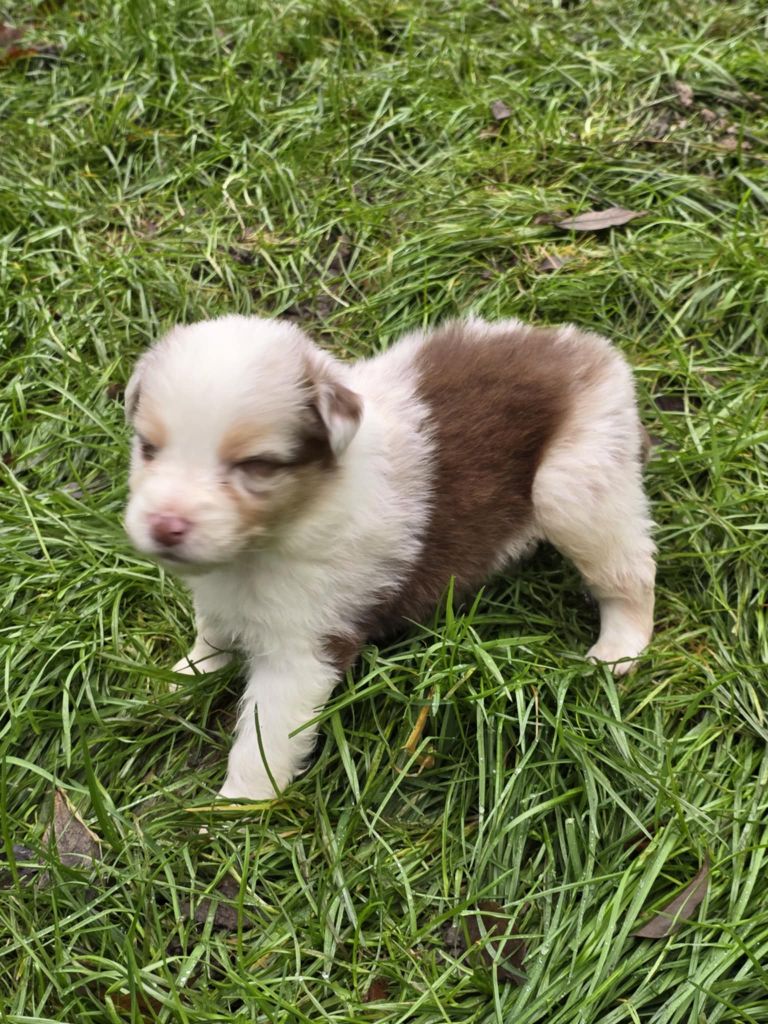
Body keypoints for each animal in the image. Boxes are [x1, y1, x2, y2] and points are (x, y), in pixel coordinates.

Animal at [124, 311, 655, 798]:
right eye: (148, 448)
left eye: (256, 465)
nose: (165, 526)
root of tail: (591, 351)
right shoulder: (221, 594)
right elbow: (211, 631)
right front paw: (185, 675)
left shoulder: (303, 651)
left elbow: (264, 740)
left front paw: (237, 810)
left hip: (573, 485)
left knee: (631, 573)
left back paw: (618, 648)